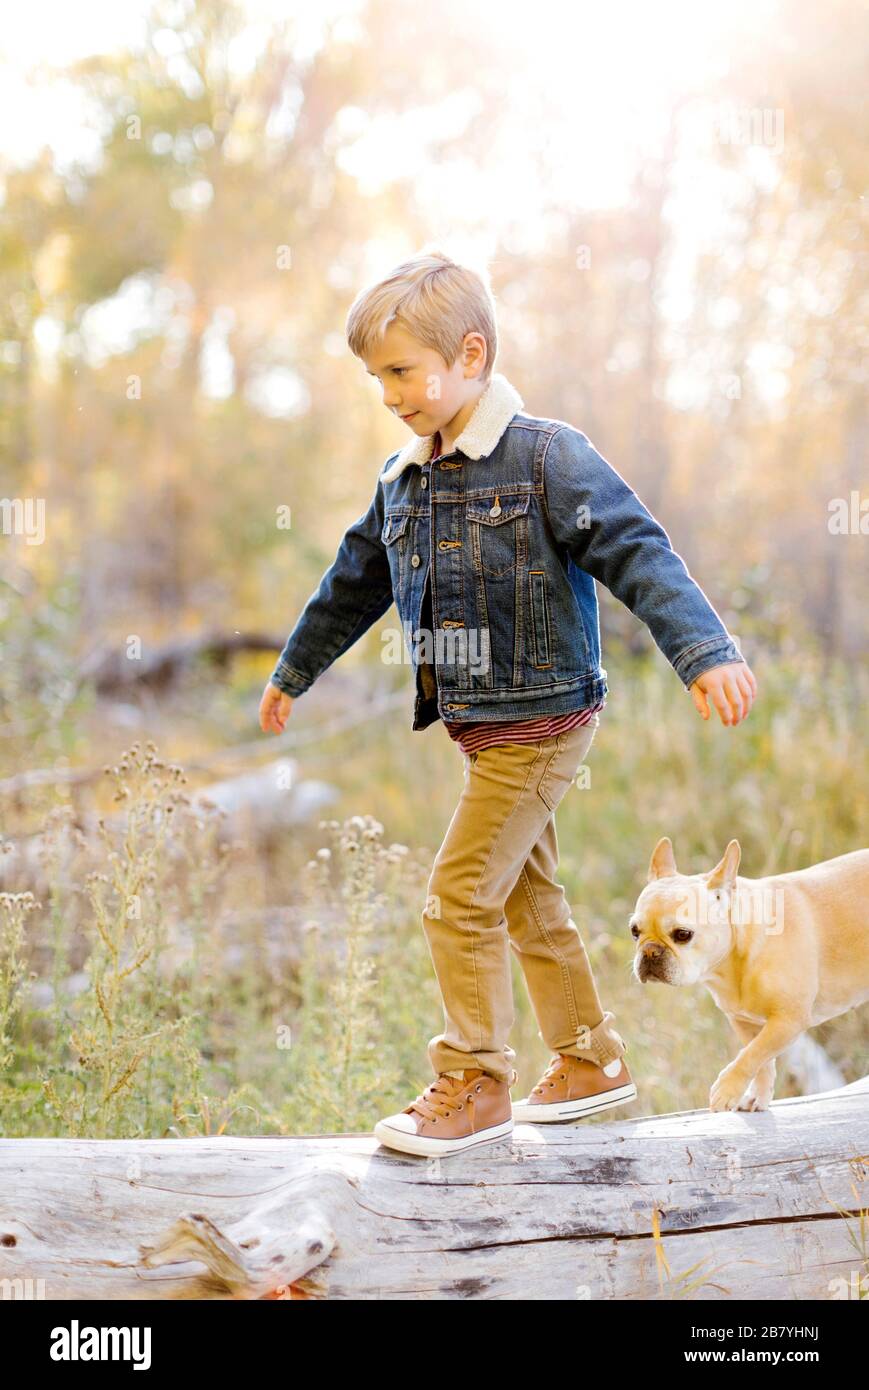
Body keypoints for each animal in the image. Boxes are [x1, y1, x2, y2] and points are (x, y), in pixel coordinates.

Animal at [625, 828, 867, 1112]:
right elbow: (761, 1060)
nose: (650, 951)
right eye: (634, 931)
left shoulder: (789, 1020)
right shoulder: (744, 1021)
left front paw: (726, 1089)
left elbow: (752, 1054)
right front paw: (756, 1097)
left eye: (683, 934)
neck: (732, 961)